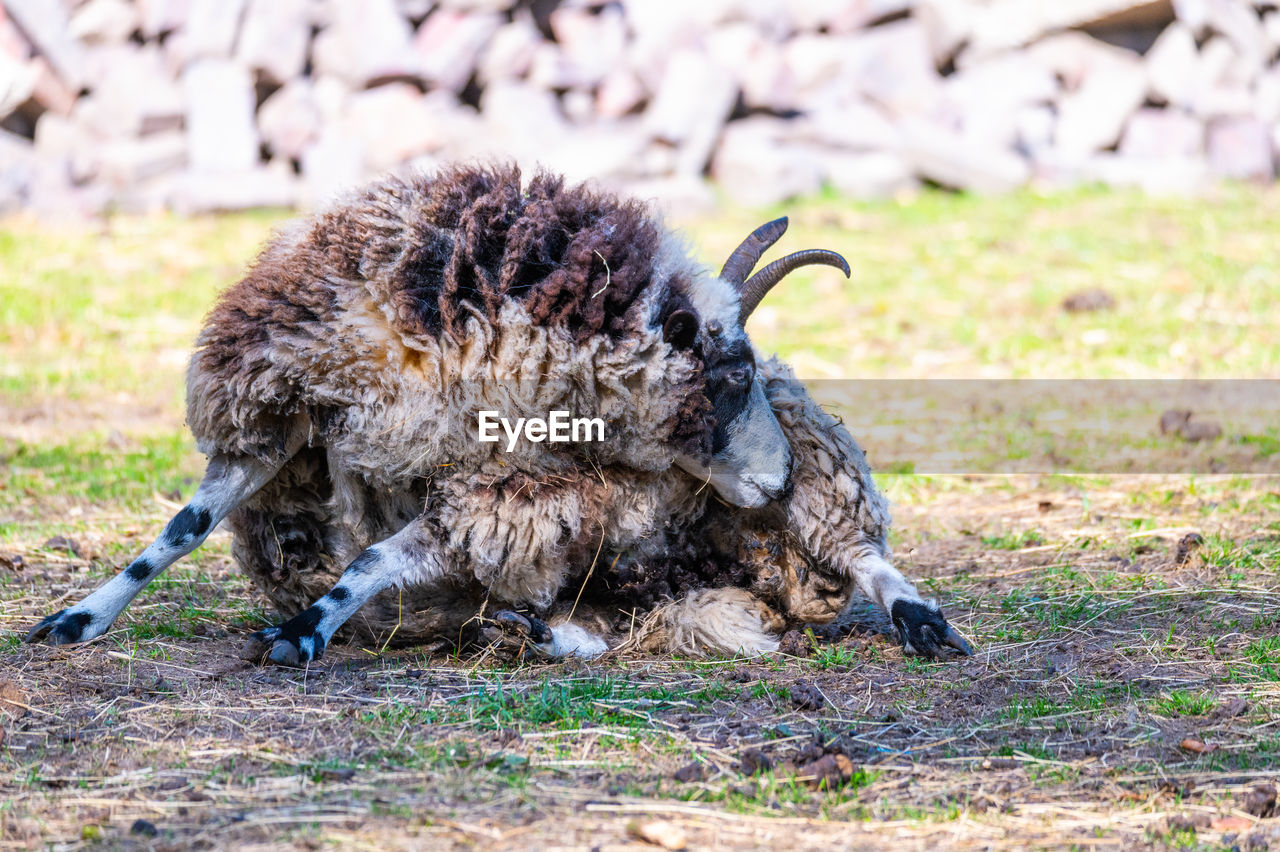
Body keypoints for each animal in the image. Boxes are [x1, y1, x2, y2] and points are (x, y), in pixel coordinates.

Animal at [22, 162, 967, 660]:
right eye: (730, 373)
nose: (778, 479)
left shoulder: (498, 493)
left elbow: (371, 561)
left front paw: (300, 632)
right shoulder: (273, 417)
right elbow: (177, 530)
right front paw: (75, 619)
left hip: (828, 497)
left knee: (861, 555)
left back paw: (927, 625)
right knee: (602, 624)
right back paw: (529, 630)